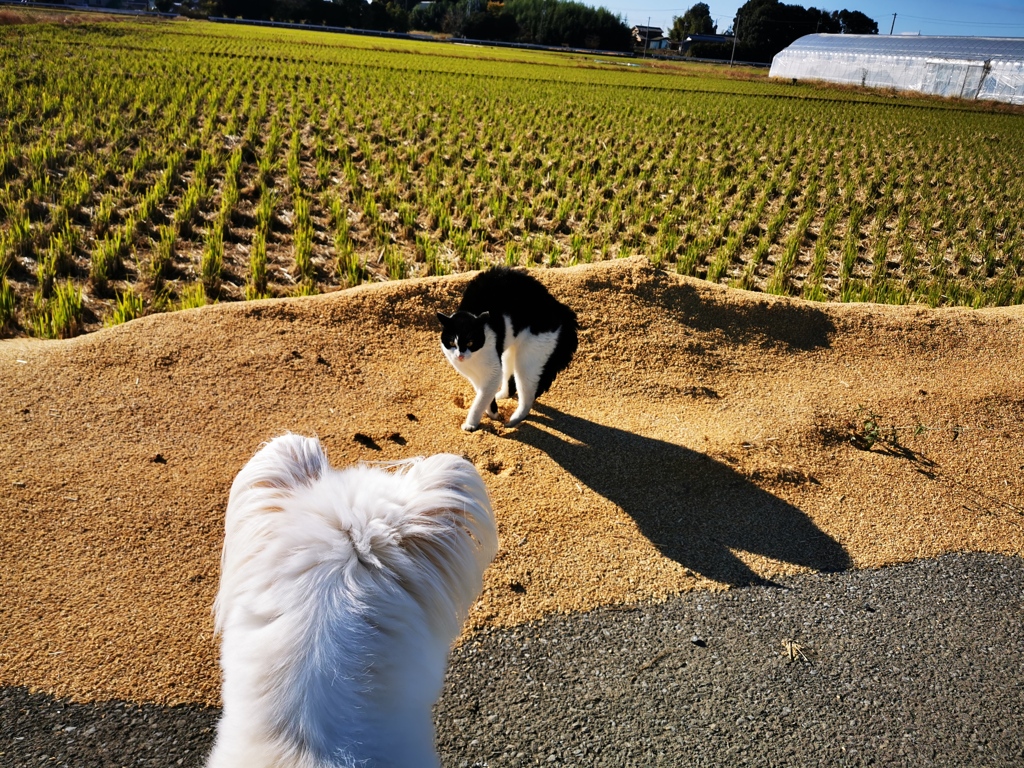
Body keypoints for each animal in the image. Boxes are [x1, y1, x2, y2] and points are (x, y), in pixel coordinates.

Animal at [436, 268, 577, 430]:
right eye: (451, 343)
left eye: (471, 343)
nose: (460, 356)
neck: (473, 359)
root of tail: (558, 308)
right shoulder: (475, 376)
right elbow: (483, 394)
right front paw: (492, 412)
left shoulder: (493, 372)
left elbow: (480, 401)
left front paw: (471, 424)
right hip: (510, 352)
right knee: (510, 383)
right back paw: (501, 396)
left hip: (529, 359)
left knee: (527, 395)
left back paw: (514, 420)